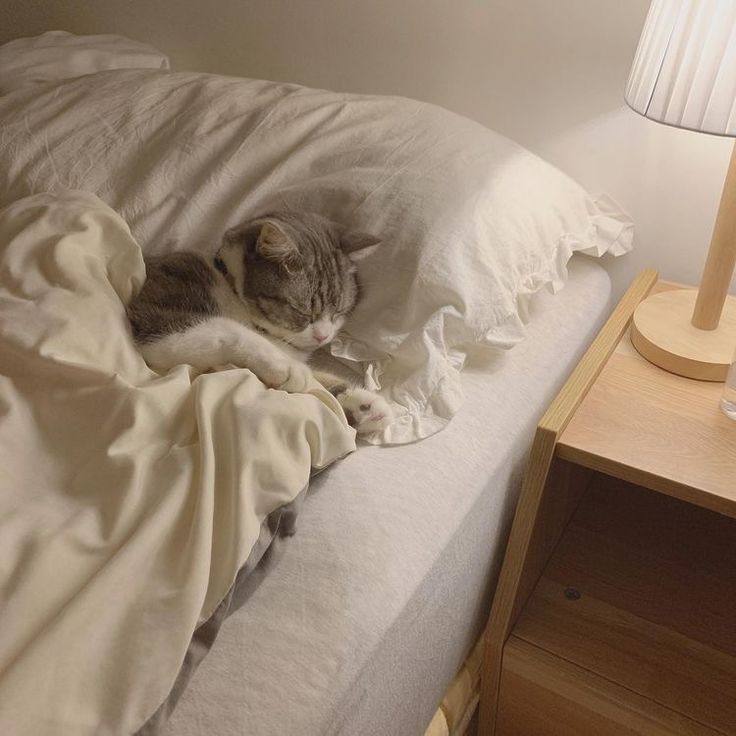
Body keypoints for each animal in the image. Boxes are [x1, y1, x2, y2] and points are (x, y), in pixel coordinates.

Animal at [128, 210, 392, 434]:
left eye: (339, 312)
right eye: (302, 311)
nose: (323, 336)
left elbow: (320, 383)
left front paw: (363, 404)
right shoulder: (155, 316)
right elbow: (229, 329)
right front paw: (287, 366)